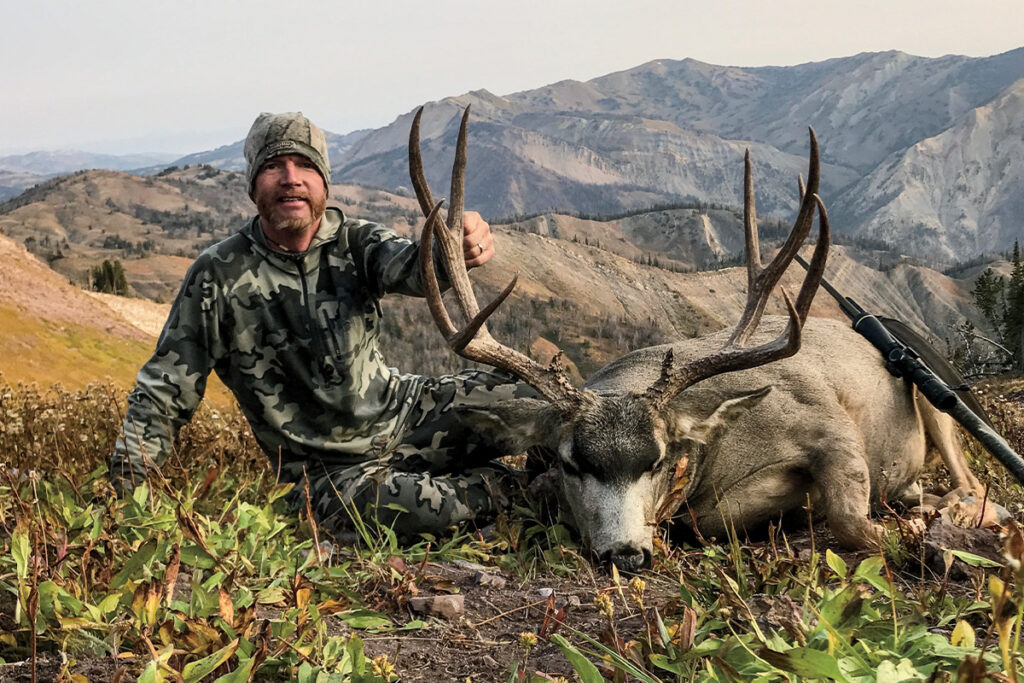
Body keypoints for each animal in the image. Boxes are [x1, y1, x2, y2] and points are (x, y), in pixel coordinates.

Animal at [407, 106, 990, 571]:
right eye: (572, 463)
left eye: (658, 459)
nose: (626, 555)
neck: (715, 456)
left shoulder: (831, 428)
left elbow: (853, 523)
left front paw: (908, 531)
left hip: (937, 393)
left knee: (972, 480)